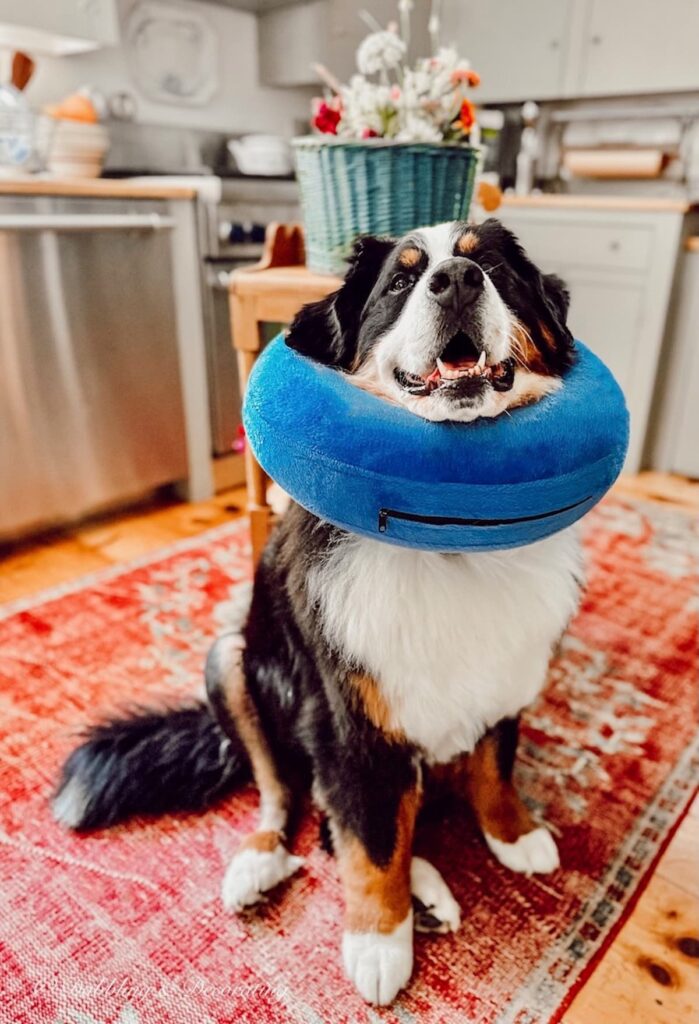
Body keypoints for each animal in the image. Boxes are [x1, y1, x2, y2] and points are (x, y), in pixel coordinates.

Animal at [53, 218, 585, 1007]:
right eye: (401, 281)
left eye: (490, 267)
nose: (456, 281)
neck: (448, 536)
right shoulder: (347, 720)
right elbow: (369, 842)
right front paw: (377, 941)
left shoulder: (506, 673)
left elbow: (491, 768)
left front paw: (513, 835)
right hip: (231, 661)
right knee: (288, 801)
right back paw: (262, 867)